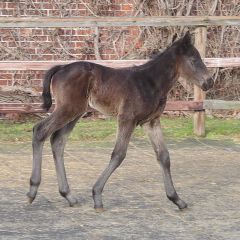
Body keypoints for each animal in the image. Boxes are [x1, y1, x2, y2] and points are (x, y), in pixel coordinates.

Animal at [27, 31, 213, 210]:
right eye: (194, 60)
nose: (209, 82)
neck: (150, 82)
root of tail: (61, 67)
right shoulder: (127, 119)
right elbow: (119, 154)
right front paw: (97, 196)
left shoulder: (151, 122)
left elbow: (164, 156)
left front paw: (177, 199)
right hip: (68, 109)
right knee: (40, 131)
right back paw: (32, 190)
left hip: (76, 112)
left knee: (58, 141)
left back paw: (68, 196)